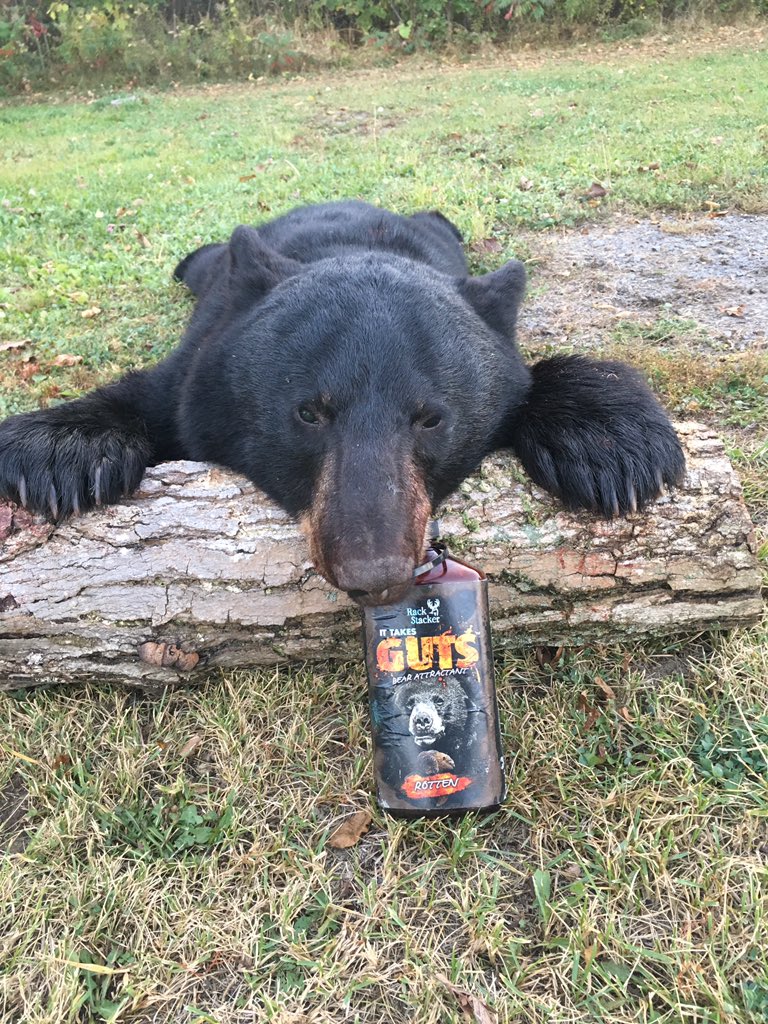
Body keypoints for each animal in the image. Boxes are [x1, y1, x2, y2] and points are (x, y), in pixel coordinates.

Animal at [0, 200, 684, 604]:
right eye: (309, 412)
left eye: (431, 418)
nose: (373, 572)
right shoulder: (202, 361)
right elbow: (147, 395)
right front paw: (60, 452)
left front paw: (611, 443)